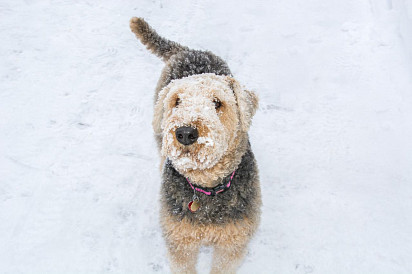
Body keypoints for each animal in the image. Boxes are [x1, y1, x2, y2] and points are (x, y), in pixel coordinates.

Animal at [130, 18, 262, 272]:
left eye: (217, 102)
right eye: (177, 100)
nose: (185, 133)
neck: (206, 187)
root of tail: (188, 51)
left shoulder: (232, 244)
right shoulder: (180, 242)